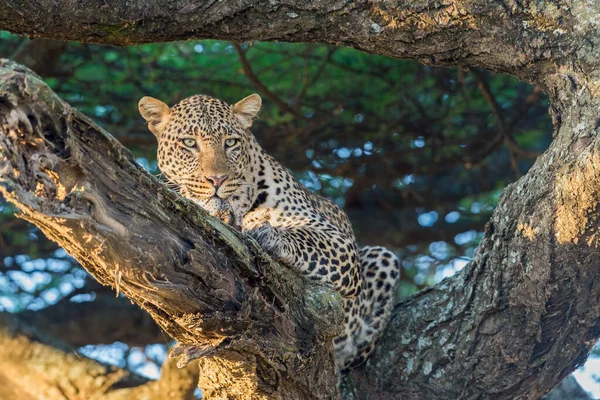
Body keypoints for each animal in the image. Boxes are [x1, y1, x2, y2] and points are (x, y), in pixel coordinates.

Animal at [139, 91, 400, 372]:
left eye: (230, 142)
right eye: (189, 143)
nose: (217, 180)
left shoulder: (339, 242)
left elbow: (301, 236)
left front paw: (266, 232)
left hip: (384, 258)